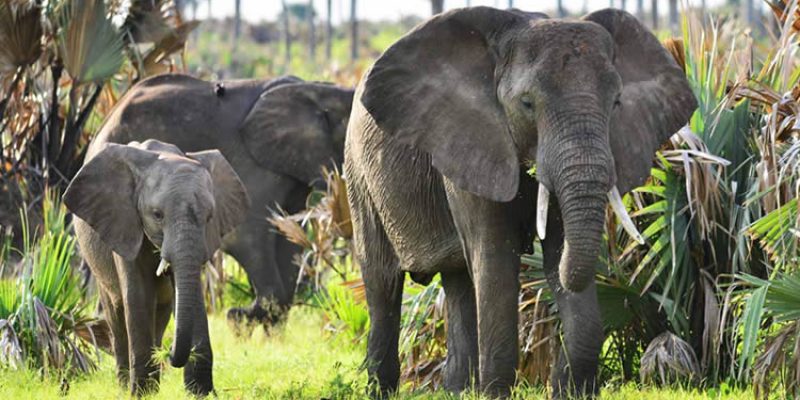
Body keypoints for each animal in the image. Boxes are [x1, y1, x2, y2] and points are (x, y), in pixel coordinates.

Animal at [63, 139, 249, 395]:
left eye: (210, 217)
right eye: (157, 215)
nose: (171, 354)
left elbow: (191, 295)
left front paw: (200, 392)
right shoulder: (124, 223)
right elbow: (138, 295)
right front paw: (141, 394)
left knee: (160, 312)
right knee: (116, 313)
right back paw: (125, 386)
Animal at [91, 73, 354, 326]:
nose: (235, 311)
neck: (319, 90)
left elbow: (289, 239)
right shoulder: (254, 166)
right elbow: (246, 236)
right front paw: (236, 320)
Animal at [344, 7, 696, 399]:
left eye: (616, 102)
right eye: (527, 104)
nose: (557, 378)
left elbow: (558, 250)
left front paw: (568, 388)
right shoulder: (471, 144)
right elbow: (495, 258)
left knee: (458, 283)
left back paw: (457, 390)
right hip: (358, 174)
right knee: (383, 284)